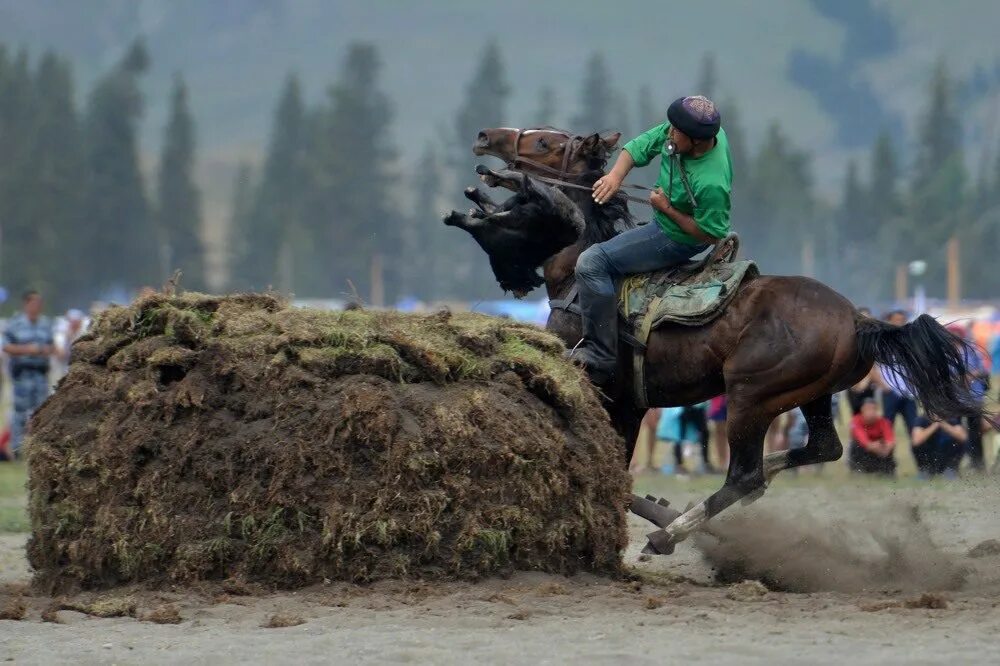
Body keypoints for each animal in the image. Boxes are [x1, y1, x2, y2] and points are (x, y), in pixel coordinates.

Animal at [448, 127, 992, 552]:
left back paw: (671, 534)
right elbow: (620, 476)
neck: (580, 282)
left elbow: (620, 478)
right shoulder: (631, 405)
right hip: (812, 395)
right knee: (822, 448)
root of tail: (859, 320)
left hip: (751, 396)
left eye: (545, 142)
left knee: (744, 475)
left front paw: (664, 518)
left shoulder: (608, 393)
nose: (487, 137)